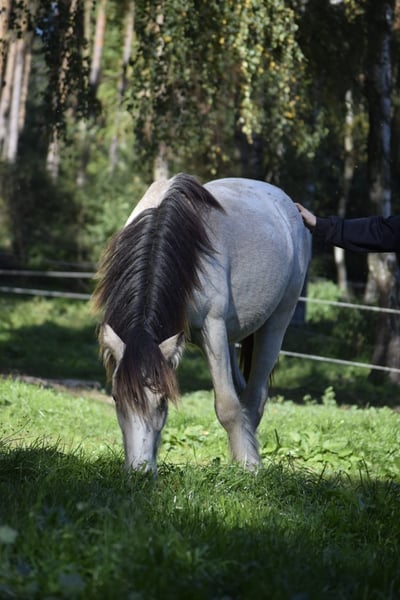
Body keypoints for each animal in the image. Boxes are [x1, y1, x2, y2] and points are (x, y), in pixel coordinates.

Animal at [92, 173, 311, 473]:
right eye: (116, 398)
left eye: (163, 400)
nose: (140, 471)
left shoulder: (213, 327)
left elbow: (228, 406)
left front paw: (249, 466)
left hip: (276, 323)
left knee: (254, 397)